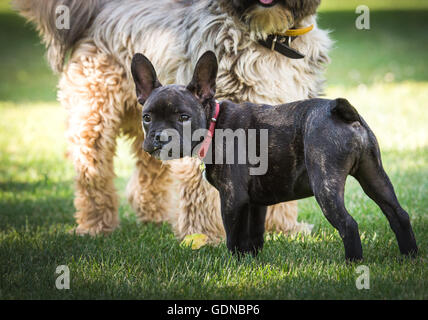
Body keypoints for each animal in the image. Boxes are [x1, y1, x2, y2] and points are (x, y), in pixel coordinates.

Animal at [131, 51, 418, 262]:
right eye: (147, 118)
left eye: (183, 117)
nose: (160, 136)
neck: (214, 122)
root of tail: (340, 111)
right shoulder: (256, 202)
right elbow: (255, 234)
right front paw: (251, 261)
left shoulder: (232, 198)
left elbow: (233, 235)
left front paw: (232, 262)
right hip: (374, 175)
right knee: (398, 214)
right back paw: (410, 256)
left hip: (325, 184)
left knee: (348, 224)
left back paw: (353, 264)